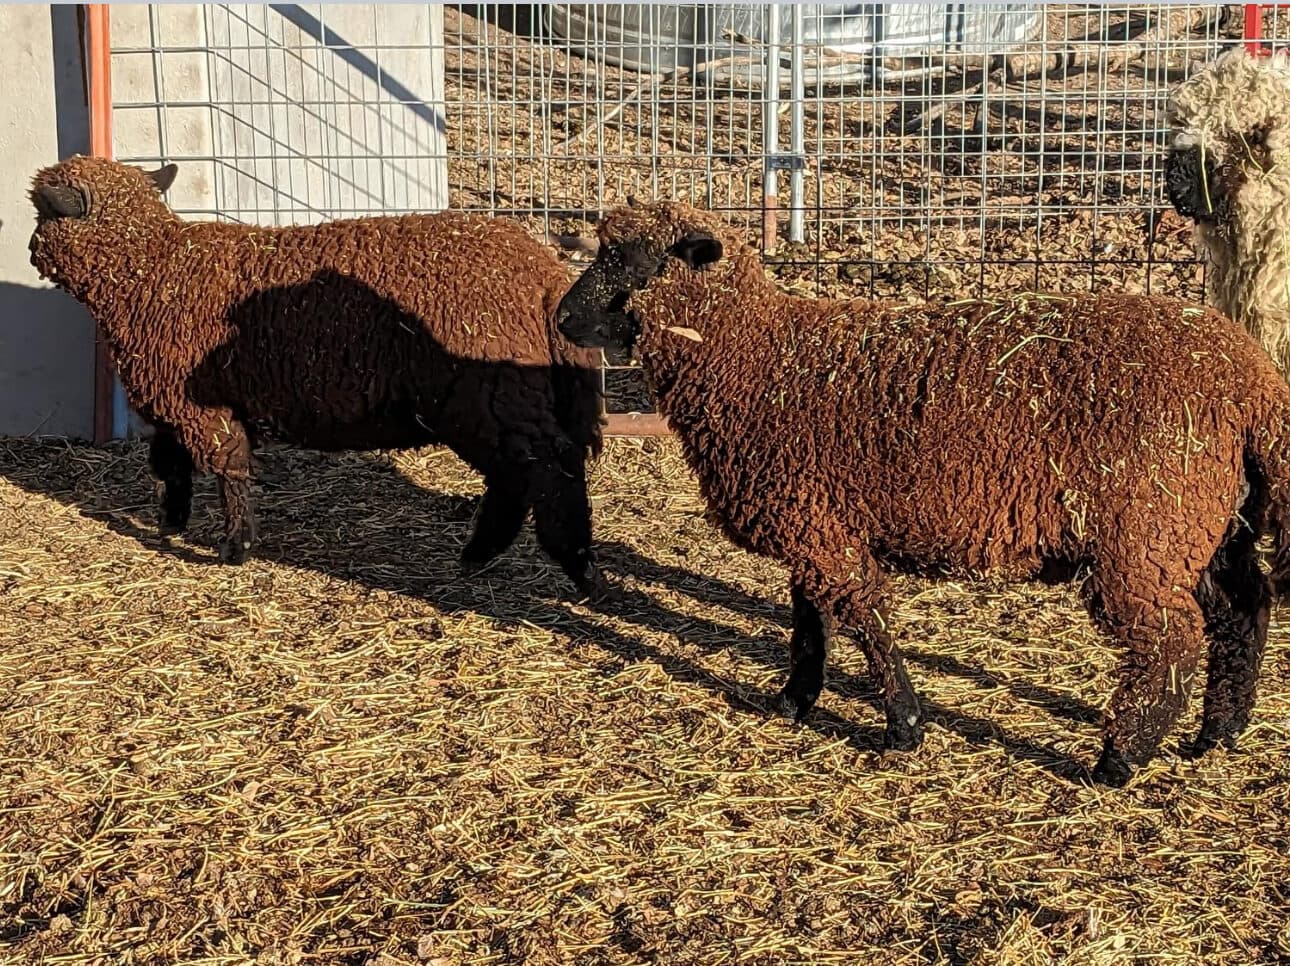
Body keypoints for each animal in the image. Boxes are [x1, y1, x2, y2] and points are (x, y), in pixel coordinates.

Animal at [28, 155, 604, 595]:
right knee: (518, 476)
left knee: (549, 470)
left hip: (491, 395)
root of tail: (545, 274)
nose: (31, 249)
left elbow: (226, 467)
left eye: (42, 211)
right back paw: (480, 556)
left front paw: (235, 547)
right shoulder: (174, 401)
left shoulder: (196, 403)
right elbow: (170, 464)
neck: (154, 268)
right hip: (496, 402)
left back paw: (574, 565)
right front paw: (173, 522)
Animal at [553, 198, 1290, 786]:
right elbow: (810, 623)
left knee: (1171, 640)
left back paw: (1120, 758)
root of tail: (1253, 381)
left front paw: (903, 727)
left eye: (634, 262)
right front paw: (793, 701)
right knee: (1243, 606)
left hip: (1145, 531)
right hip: (1205, 524)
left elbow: (865, 622)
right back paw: (1218, 733)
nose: (560, 318)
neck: (756, 358)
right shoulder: (816, 520)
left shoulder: (822, 531)